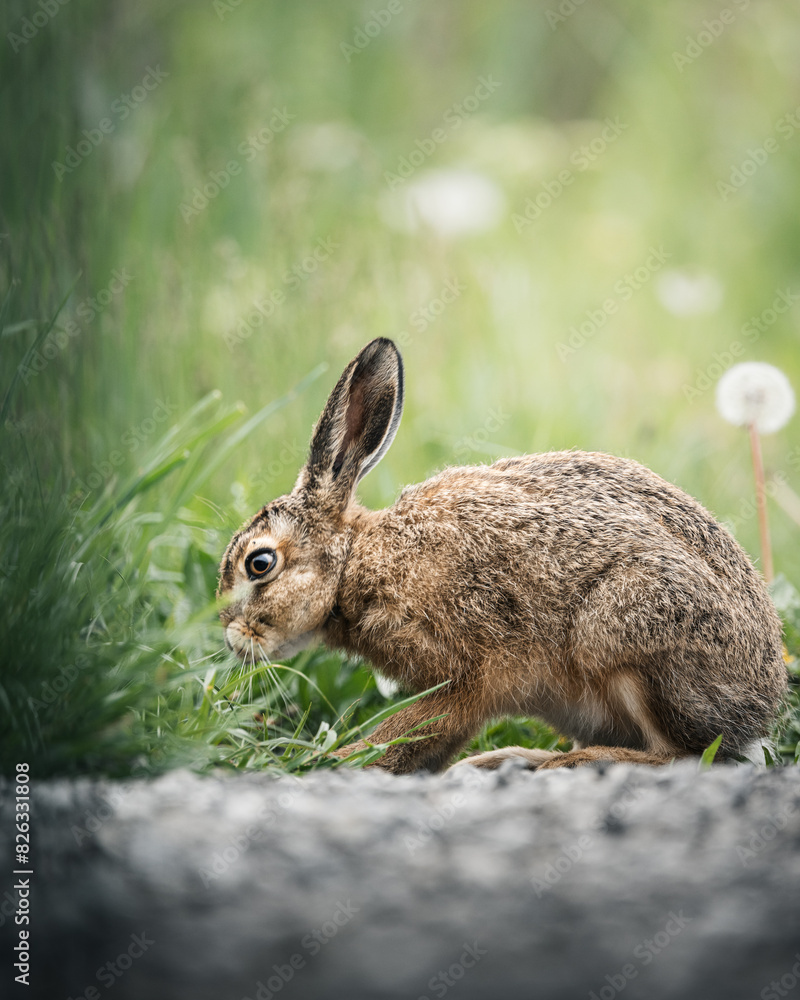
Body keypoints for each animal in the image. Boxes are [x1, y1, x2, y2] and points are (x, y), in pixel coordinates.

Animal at [218, 338, 787, 774]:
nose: (230, 637)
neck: (354, 564)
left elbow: (414, 728)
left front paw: (338, 761)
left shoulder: (469, 671)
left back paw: (564, 763)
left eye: (259, 563)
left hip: (627, 632)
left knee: (685, 755)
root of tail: (759, 705)